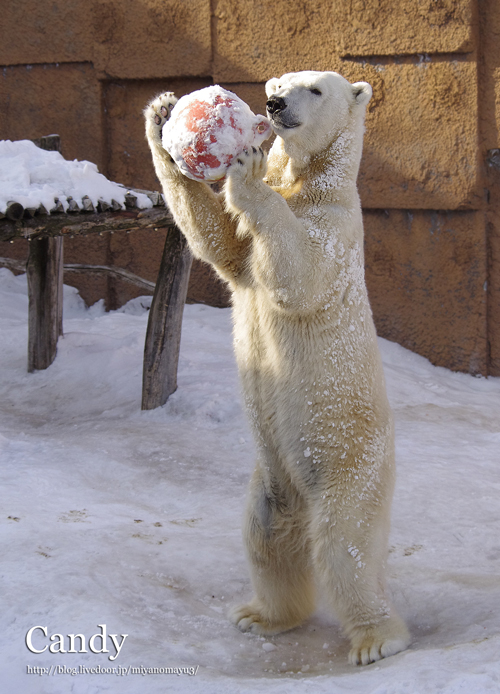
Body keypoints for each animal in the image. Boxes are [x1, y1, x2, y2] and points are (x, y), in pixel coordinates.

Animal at [145, 72, 410, 668]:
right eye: (282, 82)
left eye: (314, 89)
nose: (273, 104)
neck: (309, 184)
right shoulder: (249, 251)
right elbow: (221, 243)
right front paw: (162, 114)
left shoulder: (336, 229)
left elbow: (298, 274)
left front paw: (244, 165)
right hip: (274, 479)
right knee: (266, 535)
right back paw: (261, 615)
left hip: (350, 462)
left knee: (345, 545)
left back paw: (378, 639)